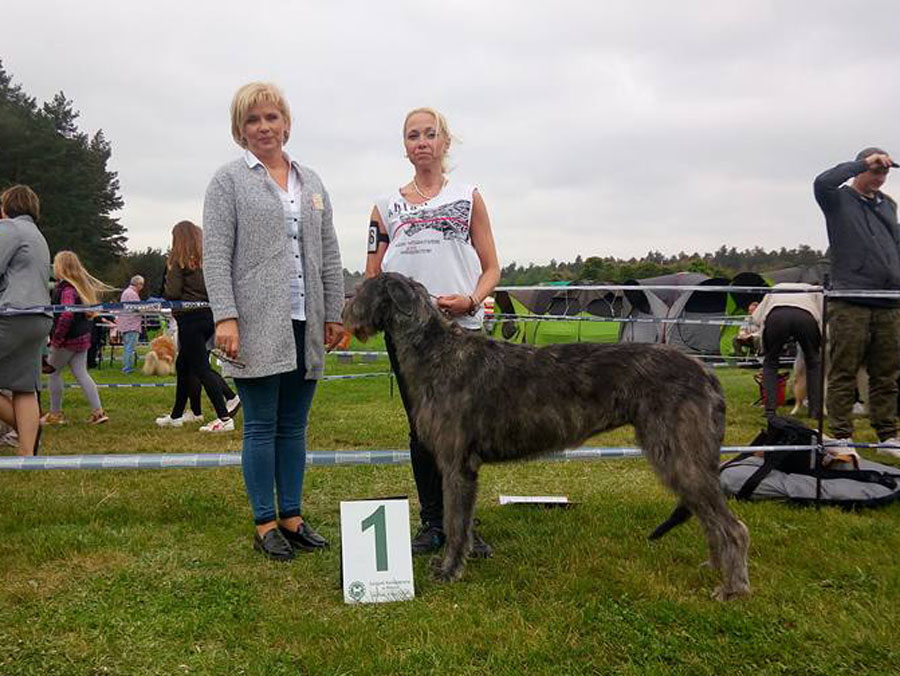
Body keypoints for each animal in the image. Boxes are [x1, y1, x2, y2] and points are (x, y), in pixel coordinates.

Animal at [344, 272, 752, 600]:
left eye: (361, 290)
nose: (343, 315)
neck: (436, 351)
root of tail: (706, 372)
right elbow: (461, 520)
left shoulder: (457, 463)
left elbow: (455, 523)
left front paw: (449, 570)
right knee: (711, 519)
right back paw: (716, 568)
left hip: (681, 453)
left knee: (733, 526)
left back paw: (733, 587)